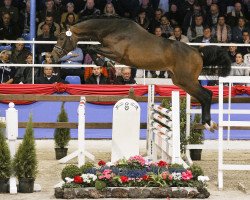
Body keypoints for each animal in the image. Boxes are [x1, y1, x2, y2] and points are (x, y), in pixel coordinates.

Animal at [51, 15, 232, 131]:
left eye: (62, 38)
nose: (52, 56)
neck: (111, 29)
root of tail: (197, 52)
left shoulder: (117, 53)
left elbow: (90, 48)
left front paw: (104, 63)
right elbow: (91, 48)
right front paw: (105, 64)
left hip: (186, 80)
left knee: (207, 95)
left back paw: (209, 124)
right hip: (181, 81)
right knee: (204, 96)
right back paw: (208, 123)